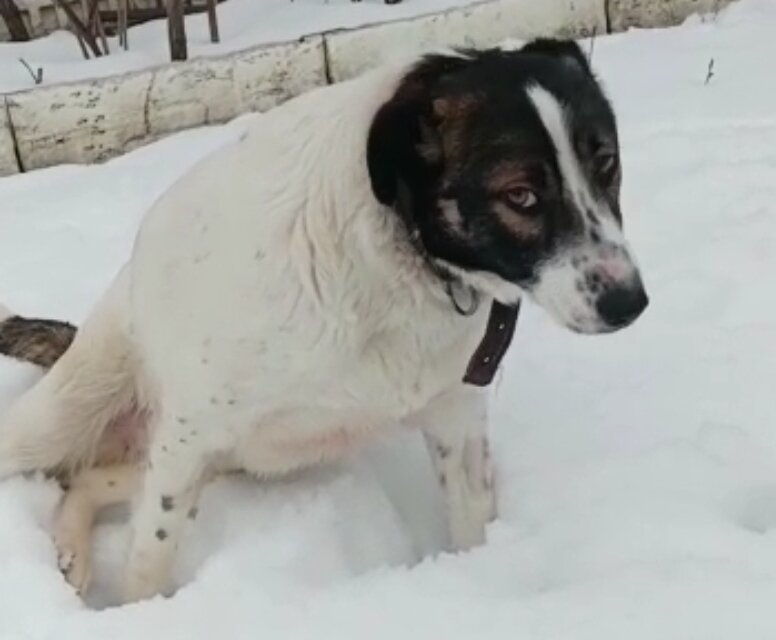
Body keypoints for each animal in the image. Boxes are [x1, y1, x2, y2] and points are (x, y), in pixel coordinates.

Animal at [0, 41, 644, 604]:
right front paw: (140, 615)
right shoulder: (189, 433)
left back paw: (71, 553)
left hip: (220, 460)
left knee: (87, 479)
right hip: (70, 424)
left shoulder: (454, 418)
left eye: (607, 163)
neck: (401, 257)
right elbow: (148, 560)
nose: (629, 302)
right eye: (520, 195)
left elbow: (471, 526)